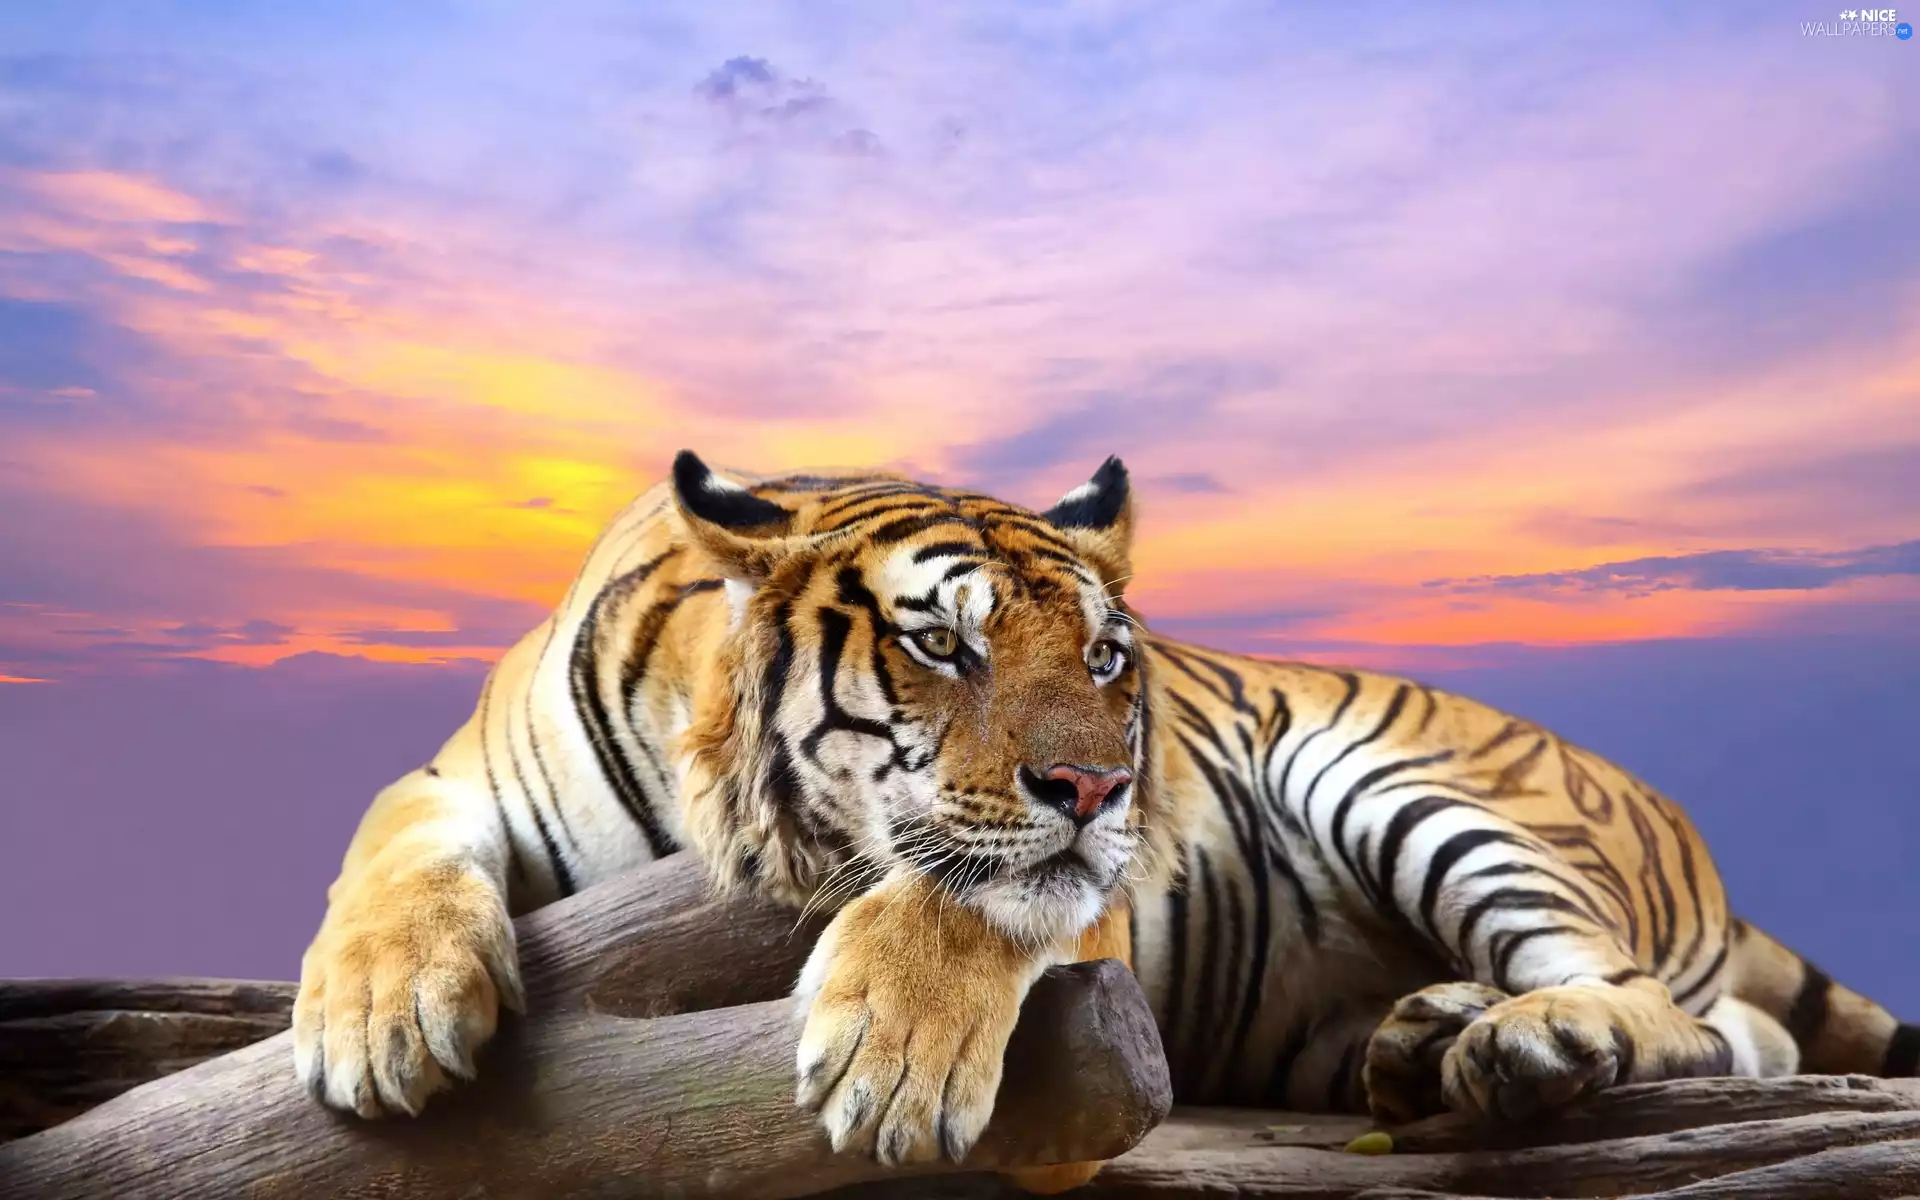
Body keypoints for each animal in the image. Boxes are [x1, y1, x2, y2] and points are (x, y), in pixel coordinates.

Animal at [293, 451, 1919, 1191]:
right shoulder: (456, 780)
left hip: (1409, 783)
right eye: (939, 644)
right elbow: (387, 847)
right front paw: (381, 1021)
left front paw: (890, 1067)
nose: (1100, 788)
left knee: (1672, 1014)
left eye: (1103, 660)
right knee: (1729, 1030)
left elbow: (970, 890)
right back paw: (1427, 1039)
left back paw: (1525, 1044)